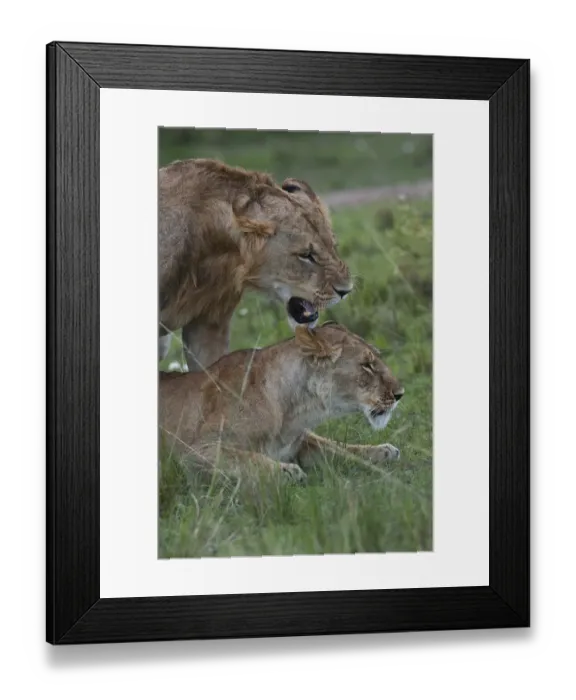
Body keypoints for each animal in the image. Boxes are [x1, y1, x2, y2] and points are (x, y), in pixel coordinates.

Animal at [159, 322, 405, 482]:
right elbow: (246, 458)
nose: (400, 393)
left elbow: (341, 449)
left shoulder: (301, 442)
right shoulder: (195, 451)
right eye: (367, 365)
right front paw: (286, 471)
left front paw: (382, 452)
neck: (296, 412)